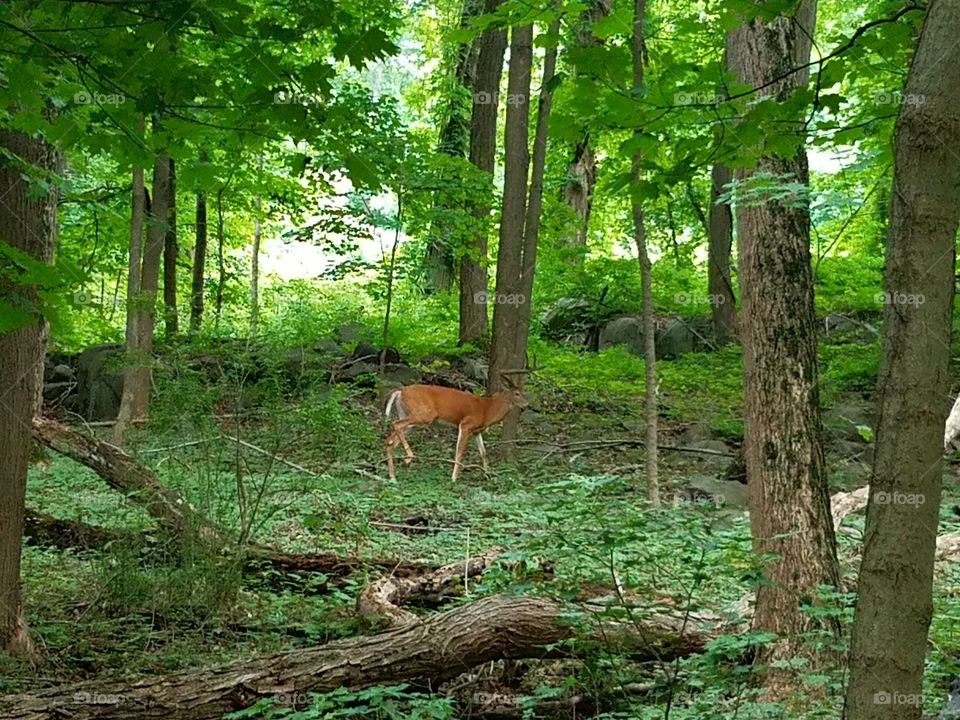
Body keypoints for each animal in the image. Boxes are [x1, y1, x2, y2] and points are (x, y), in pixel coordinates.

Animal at [384, 377, 529, 481]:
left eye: (522, 392)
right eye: (517, 393)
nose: (527, 405)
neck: (487, 410)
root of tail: (400, 392)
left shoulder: (477, 431)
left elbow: (483, 452)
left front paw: (488, 475)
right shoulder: (466, 424)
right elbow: (459, 452)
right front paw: (453, 478)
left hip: (410, 417)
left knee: (390, 439)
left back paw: (392, 476)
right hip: (424, 414)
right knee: (396, 424)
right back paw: (408, 457)